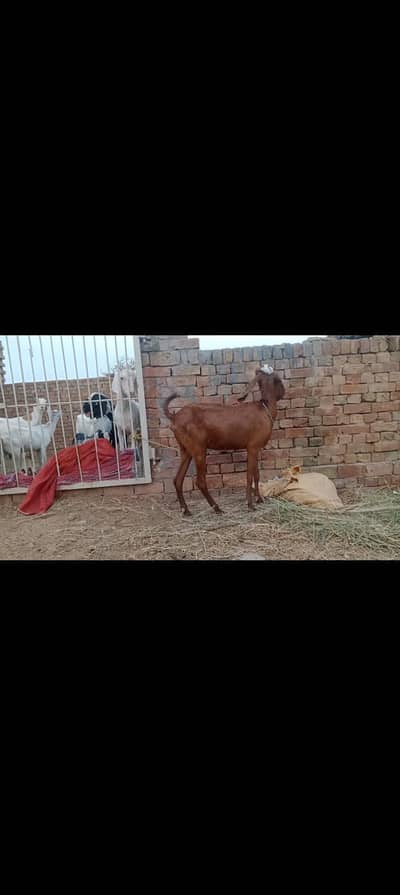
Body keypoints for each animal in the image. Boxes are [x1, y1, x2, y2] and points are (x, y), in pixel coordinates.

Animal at [163, 368, 285, 516]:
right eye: (279, 380)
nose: (283, 393)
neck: (264, 408)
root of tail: (175, 417)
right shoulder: (252, 447)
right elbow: (249, 476)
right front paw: (250, 504)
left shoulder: (255, 448)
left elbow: (256, 475)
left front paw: (259, 499)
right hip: (198, 448)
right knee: (200, 481)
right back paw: (216, 508)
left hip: (185, 449)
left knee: (178, 479)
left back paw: (186, 510)